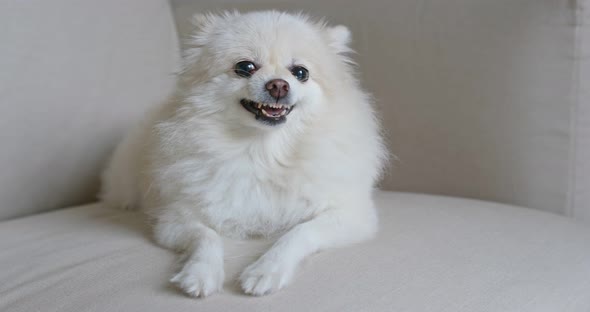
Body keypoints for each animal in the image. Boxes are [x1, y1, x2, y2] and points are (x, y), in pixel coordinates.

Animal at [100, 10, 388, 298]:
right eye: (246, 67)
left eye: (300, 73)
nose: (278, 85)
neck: (263, 151)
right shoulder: (175, 220)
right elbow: (206, 237)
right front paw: (200, 273)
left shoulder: (351, 215)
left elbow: (299, 232)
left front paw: (266, 270)